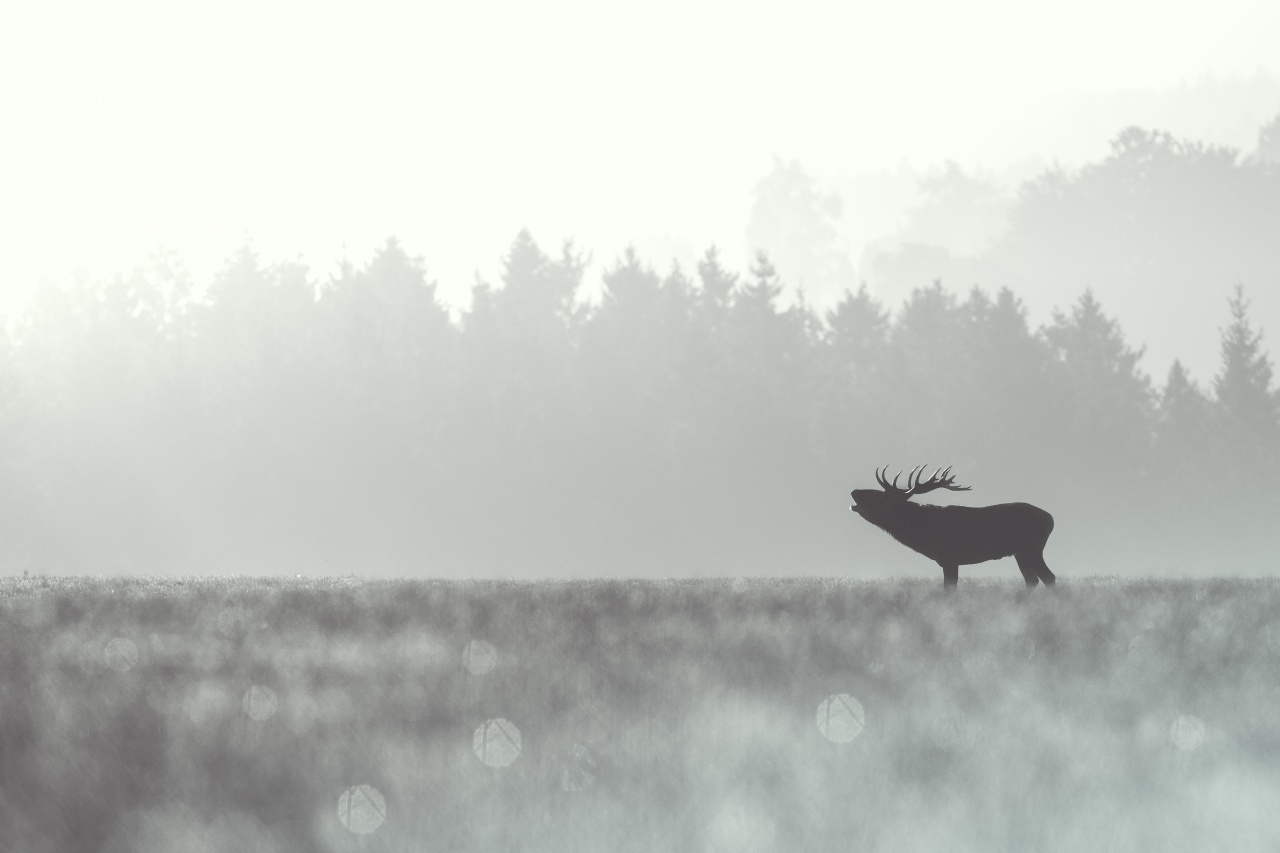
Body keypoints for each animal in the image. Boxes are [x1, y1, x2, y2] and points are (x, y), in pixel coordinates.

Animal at [849, 466, 1055, 590]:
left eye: (878, 496)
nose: (853, 491)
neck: (922, 533)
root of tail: (1051, 519)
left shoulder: (949, 557)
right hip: (1022, 552)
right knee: (1037, 579)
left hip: (1030, 548)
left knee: (1044, 578)